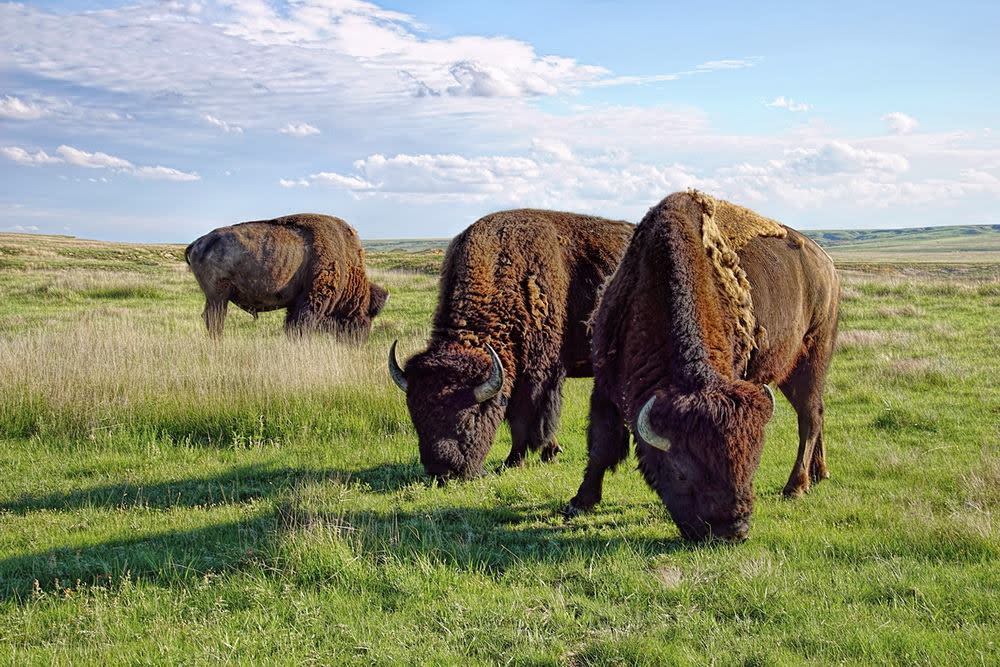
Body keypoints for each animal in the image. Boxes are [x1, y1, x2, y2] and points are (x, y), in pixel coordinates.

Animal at [186, 214, 387, 338]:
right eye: (365, 317)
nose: (359, 342)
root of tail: (198, 243)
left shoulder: (296, 304)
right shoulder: (311, 302)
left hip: (216, 297)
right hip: (218, 296)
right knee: (215, 320)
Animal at [389, 209, 633, 481]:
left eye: (470, 420)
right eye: (416, 418)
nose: (443, 472)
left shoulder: (538, 375)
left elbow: (525, 420)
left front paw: (515, 461)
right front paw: (548, 453)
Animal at [567, 191, 840, 542]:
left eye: (751, 463)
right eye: (681, 473)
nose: (732, 530)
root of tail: (827, 264)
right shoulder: (605, 383)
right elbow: (601, 444)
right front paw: (579, 502)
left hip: (813, 355)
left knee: (810, 417)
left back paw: (795, 486)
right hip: (791, 371)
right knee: (816, 413)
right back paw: (819, 474)